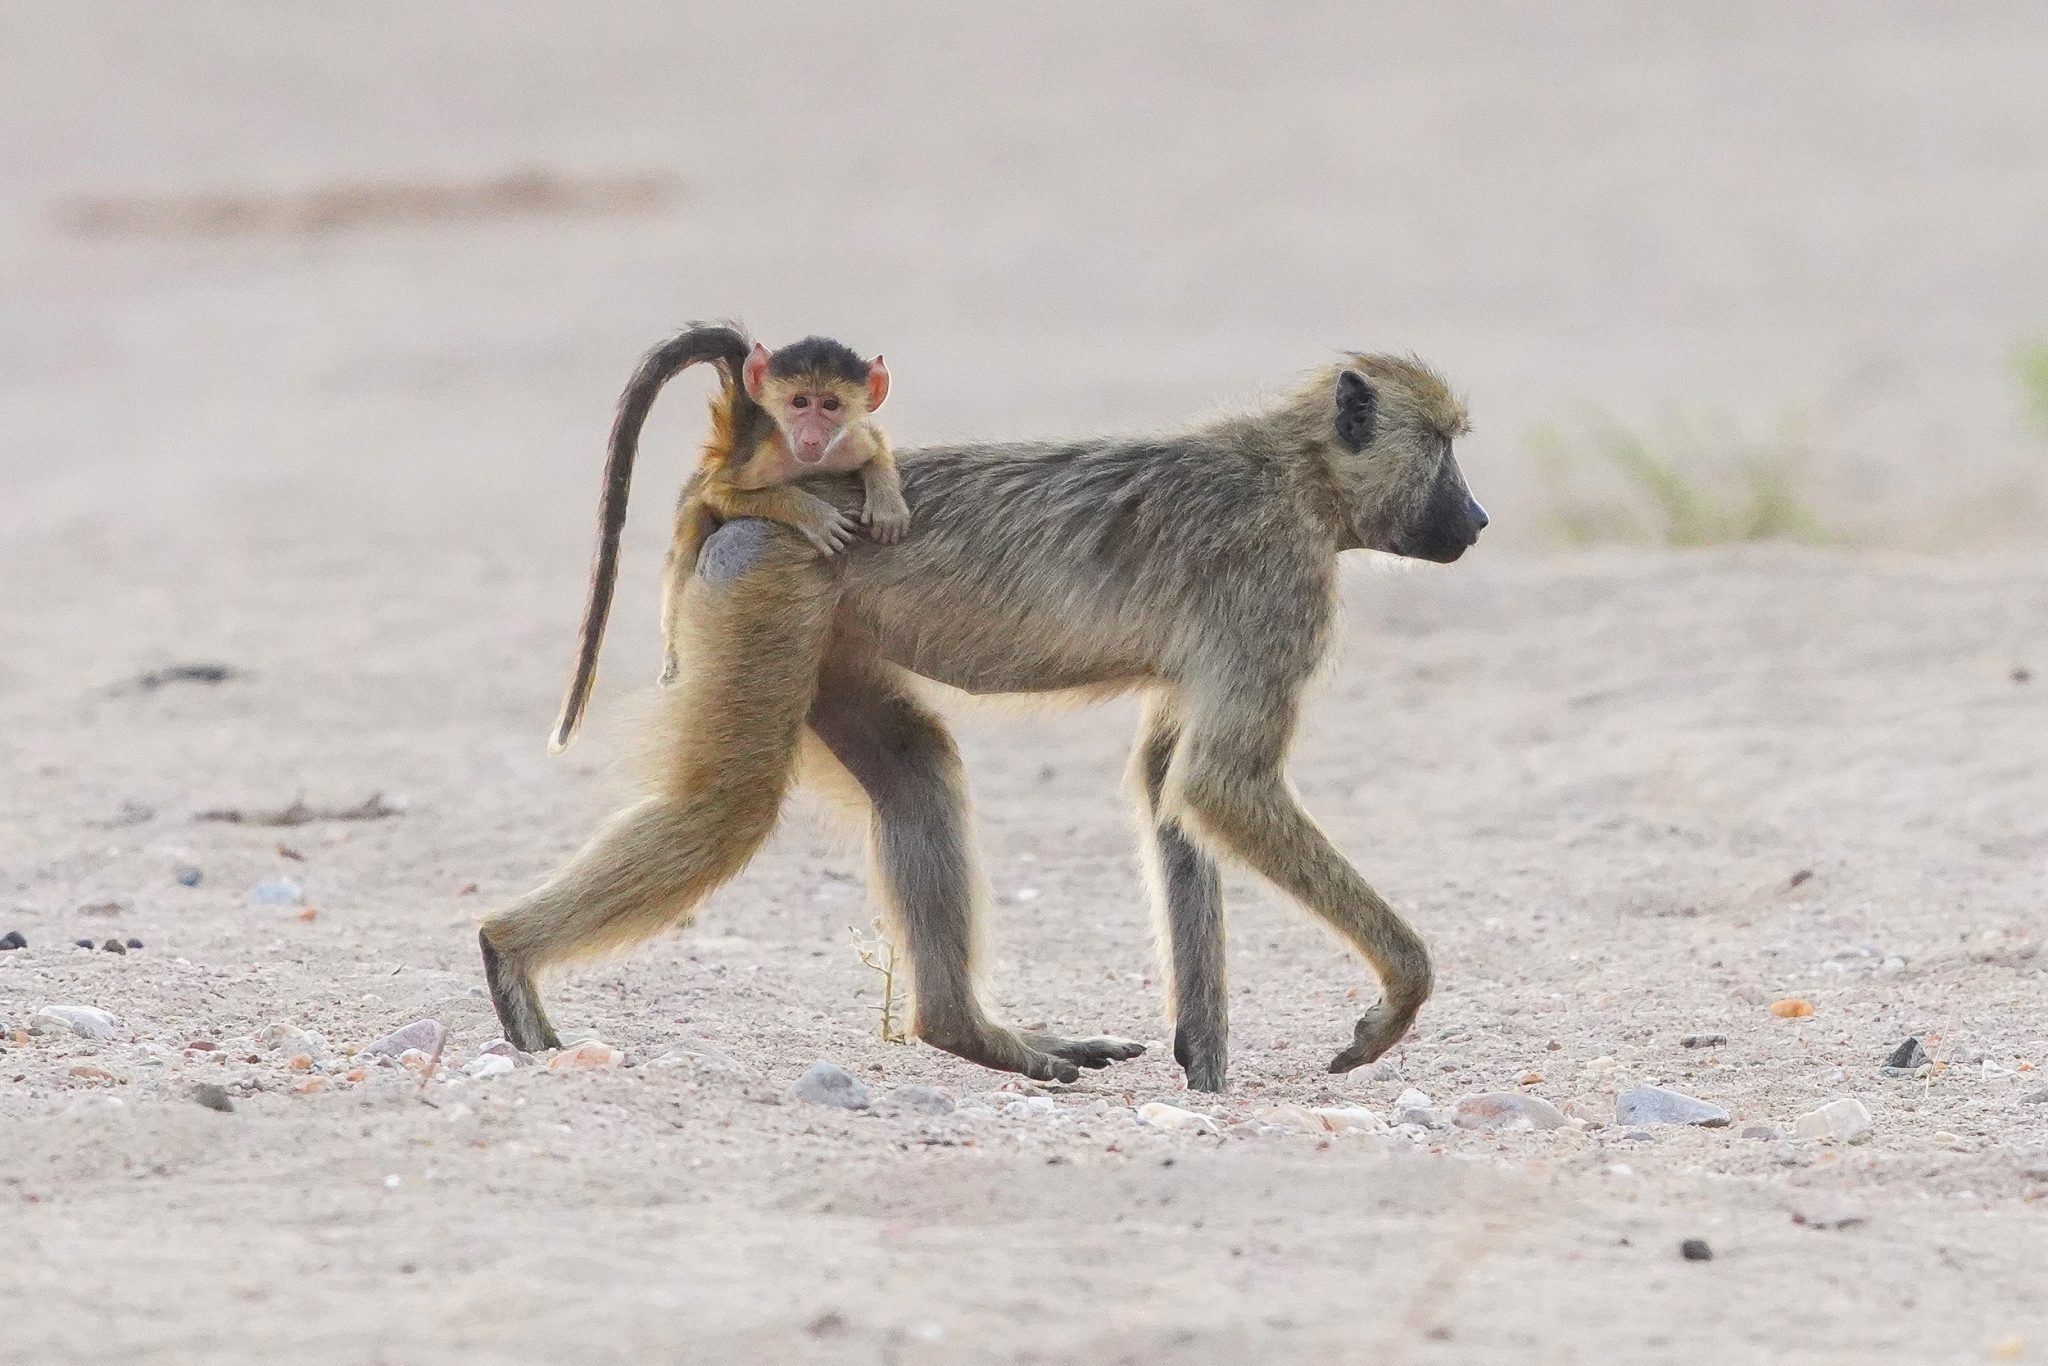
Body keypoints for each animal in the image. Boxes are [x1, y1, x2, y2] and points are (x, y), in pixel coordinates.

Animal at [546, 324, 906, 755]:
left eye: (830, 405)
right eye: (800, 402)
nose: (811, 436)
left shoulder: (849, 443)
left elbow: (875, 446)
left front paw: (887, 502)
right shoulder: (761, 458)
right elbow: (721, 494)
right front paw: (815, 516)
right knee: (694, 527)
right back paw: (674, 654)